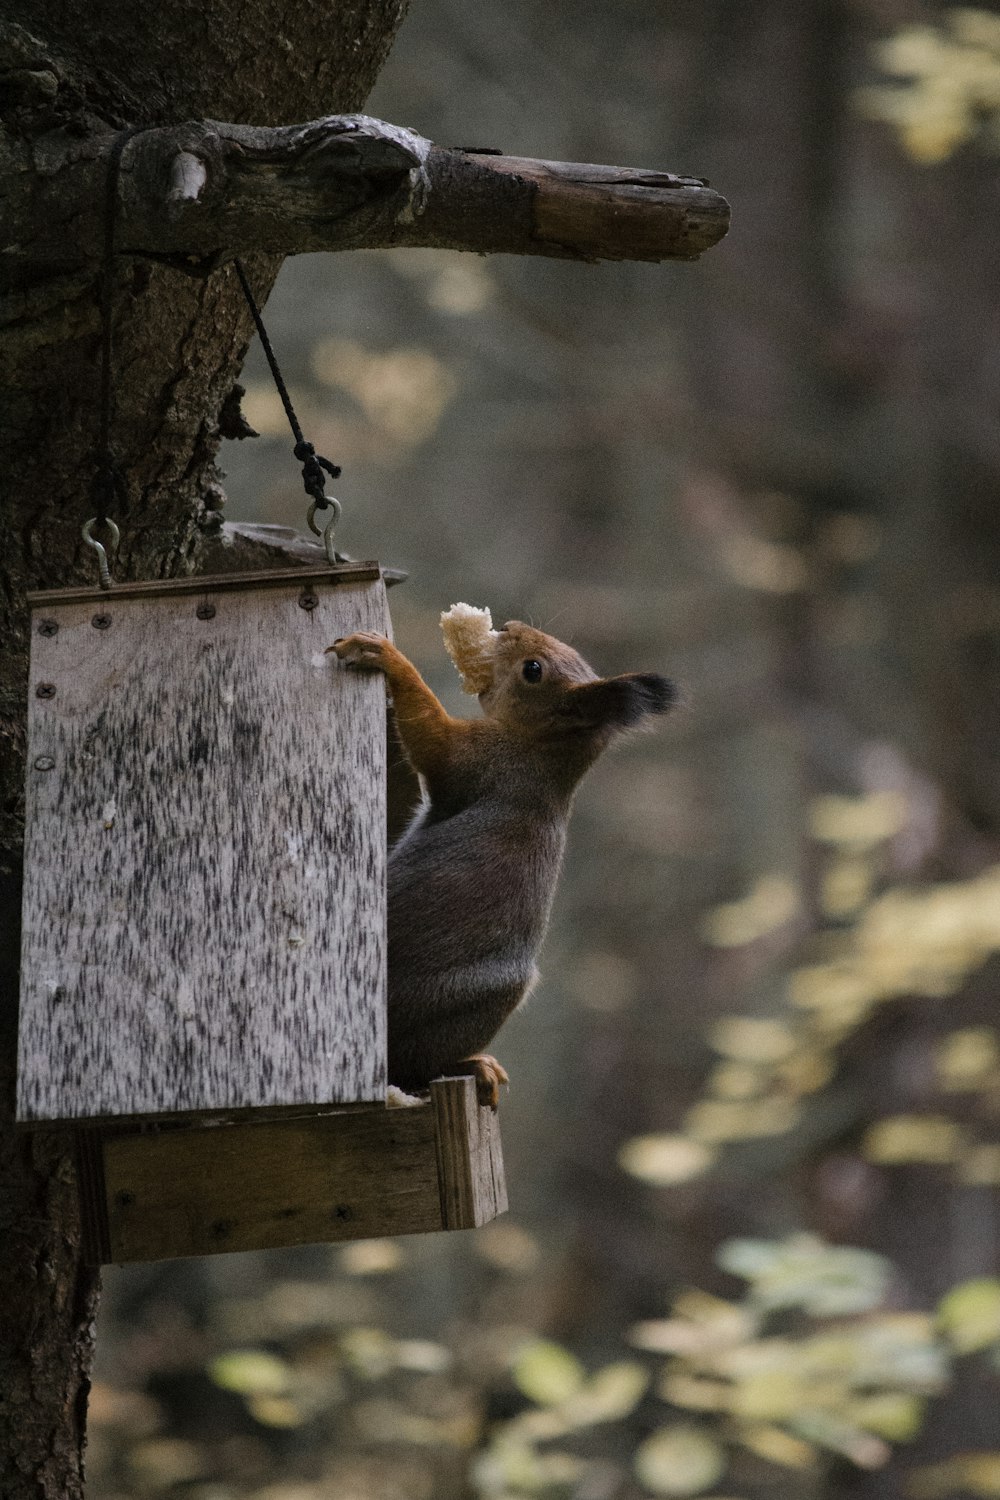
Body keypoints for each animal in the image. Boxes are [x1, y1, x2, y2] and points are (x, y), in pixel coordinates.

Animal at [326, 615, 671, 1110]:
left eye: (533, 670)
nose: (509, 626)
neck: (543, 748)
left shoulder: (483, 762)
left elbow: (433, 737)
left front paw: (387, 657)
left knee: (413, 1062)